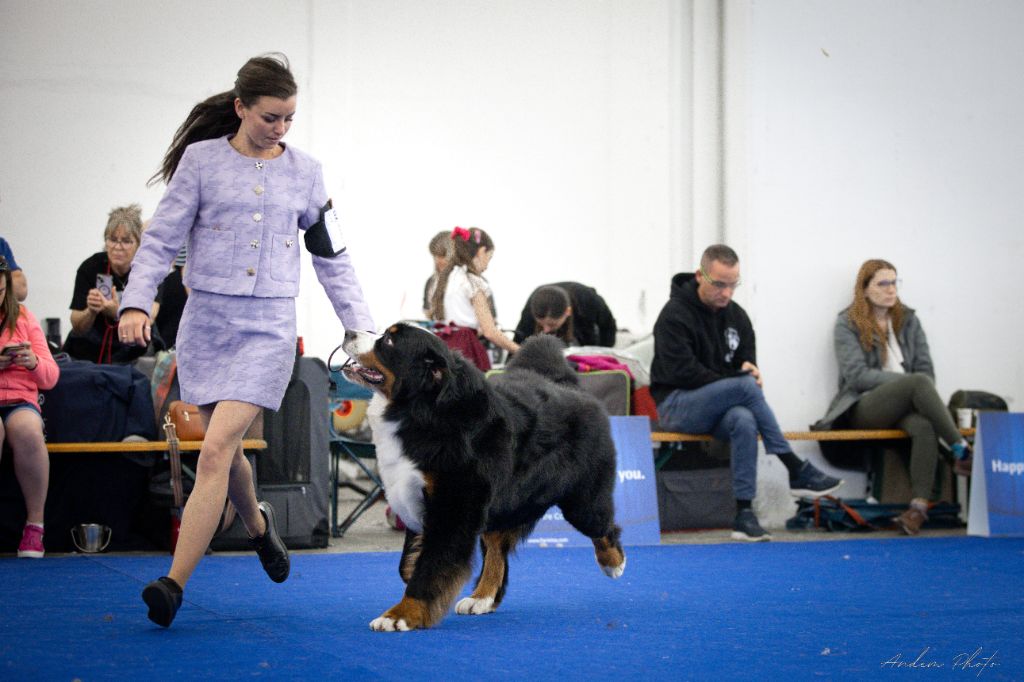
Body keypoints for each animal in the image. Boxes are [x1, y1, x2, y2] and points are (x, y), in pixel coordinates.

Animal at [342, 321, 622, 630]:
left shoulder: (454, 506)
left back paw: (612, 563)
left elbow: (429, 566)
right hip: (506, 502)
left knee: (604, 527)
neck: (423, 410)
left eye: (389, 341)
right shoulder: (417, 499)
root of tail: (566, 385)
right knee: (497, 548)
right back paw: (483, 598)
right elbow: (411, 564)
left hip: (581, 502)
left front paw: (401, 615)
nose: (348, 332)